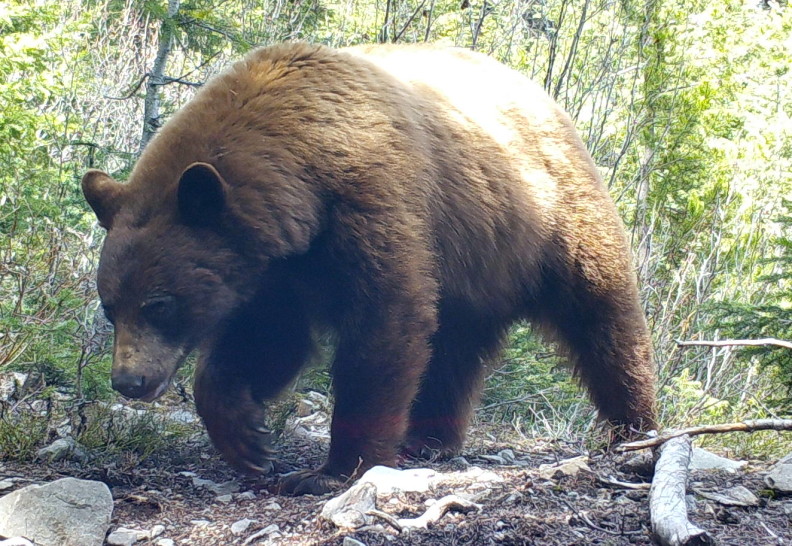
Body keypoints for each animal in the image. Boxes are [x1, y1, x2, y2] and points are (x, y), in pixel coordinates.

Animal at [82, 42, 656, 495]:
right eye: (110, 307)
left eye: (160, 304)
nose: (128, 380)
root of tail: (545, 100)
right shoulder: (278, 266)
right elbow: (270, 338)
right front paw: (246, 436)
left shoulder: (371, 199)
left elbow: (385, 321)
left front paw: (331, 469)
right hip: (474, 266)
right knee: (454, 347)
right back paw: (428, 438)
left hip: (545, 220)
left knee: (603, 317)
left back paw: (634, 428)